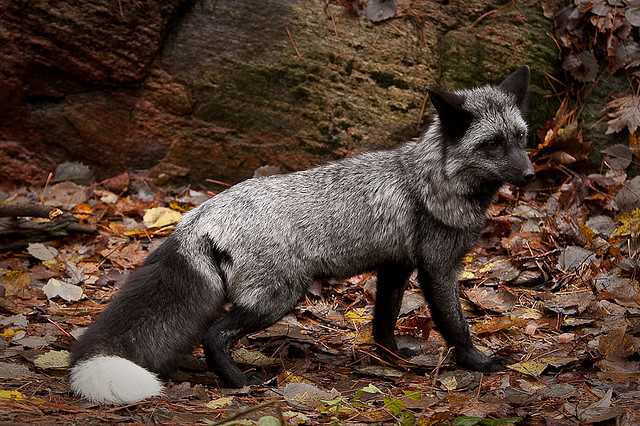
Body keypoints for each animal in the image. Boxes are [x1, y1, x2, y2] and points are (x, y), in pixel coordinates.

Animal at [70, 65, 536, 402]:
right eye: (492, 144)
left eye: (521, 138)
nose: (531, 174)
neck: (427, 181)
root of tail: (200, 214)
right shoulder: (437, 268)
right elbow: (455, 324)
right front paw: (477, 362)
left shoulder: (396, 266)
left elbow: (383, 320)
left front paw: (389, 356)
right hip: (279, 296)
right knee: (213, 335)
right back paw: (240, 383)